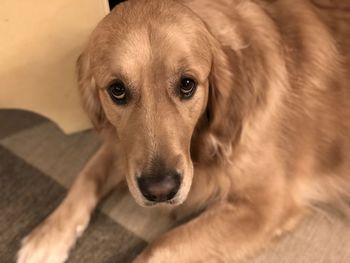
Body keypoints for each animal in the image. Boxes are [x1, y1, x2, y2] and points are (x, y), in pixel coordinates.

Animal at [17, 0, 348, 262]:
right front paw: (47, 237)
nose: (160, 190)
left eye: (187, 84)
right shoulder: (124, 148)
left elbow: (160, 247)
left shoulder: (266, 205)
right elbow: (87, 176)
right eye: (117, 90)